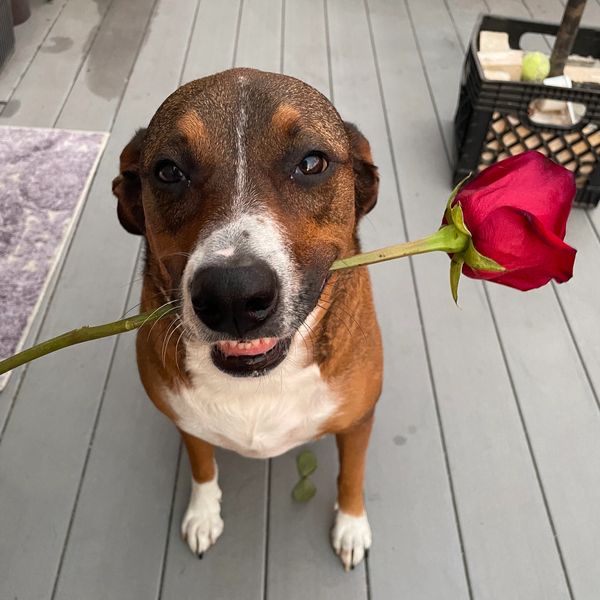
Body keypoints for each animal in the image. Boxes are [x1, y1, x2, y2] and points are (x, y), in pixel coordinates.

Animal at [111, 68, 384, 568]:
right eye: (168, 171)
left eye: (312, 163)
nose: (233, 296)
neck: (258, 384)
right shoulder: (187, 423)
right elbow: (202, 466)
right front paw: (204, 514)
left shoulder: (358, 421)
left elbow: (350, 475)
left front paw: (352, 524)